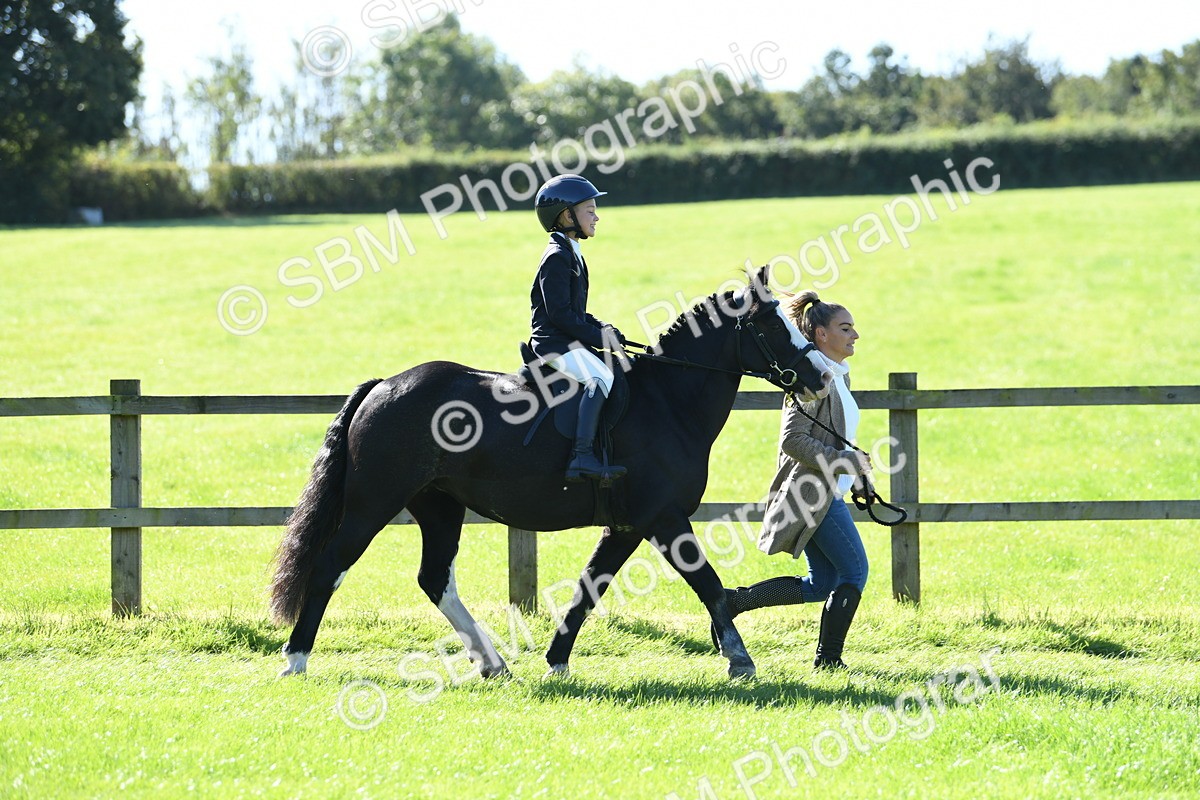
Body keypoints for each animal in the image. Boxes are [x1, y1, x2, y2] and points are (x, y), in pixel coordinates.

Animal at [269, 265, 832, 680]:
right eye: (771, 327)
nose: (821, 378)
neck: (669, 401)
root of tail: (386, 385)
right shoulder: (663, 517)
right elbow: (707, 582)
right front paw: (740, 659)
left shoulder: (627, 526)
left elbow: (588, 589)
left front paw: (556, 661)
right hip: (373, 503)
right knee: (330, 565)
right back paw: (295, 661)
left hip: (439, 506)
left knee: (435, 578)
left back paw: (493, 664)